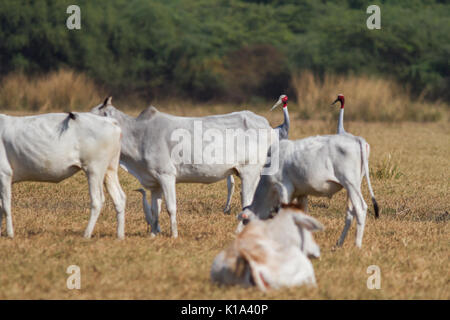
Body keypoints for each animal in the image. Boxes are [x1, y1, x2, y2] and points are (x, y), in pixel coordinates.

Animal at [0, 111, 125, 239]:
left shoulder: (4, 174)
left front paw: (10, 234)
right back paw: (119, 236)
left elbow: (5, 206)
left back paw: (86, 234)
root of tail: (110, 121)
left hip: (94, 170)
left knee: (97, 201)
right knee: (119, 198)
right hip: (109, 170)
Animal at [90, 96, 274, 236]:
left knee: (248, 202)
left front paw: (174, 234)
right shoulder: (154, 182)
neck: (139, 135)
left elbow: (171, 207)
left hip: (249, 172)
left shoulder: (167, 175)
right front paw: (153, 234)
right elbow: (155, 210)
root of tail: (265, 124)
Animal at [239, 134, 380, 249]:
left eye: (246, 223)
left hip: (350, 183)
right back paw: (339, 244)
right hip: (352, 188)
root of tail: (356, 138)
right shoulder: (301, 194)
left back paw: (357, 245)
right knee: (350, 213)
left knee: (361, 208)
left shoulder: (284, 188)